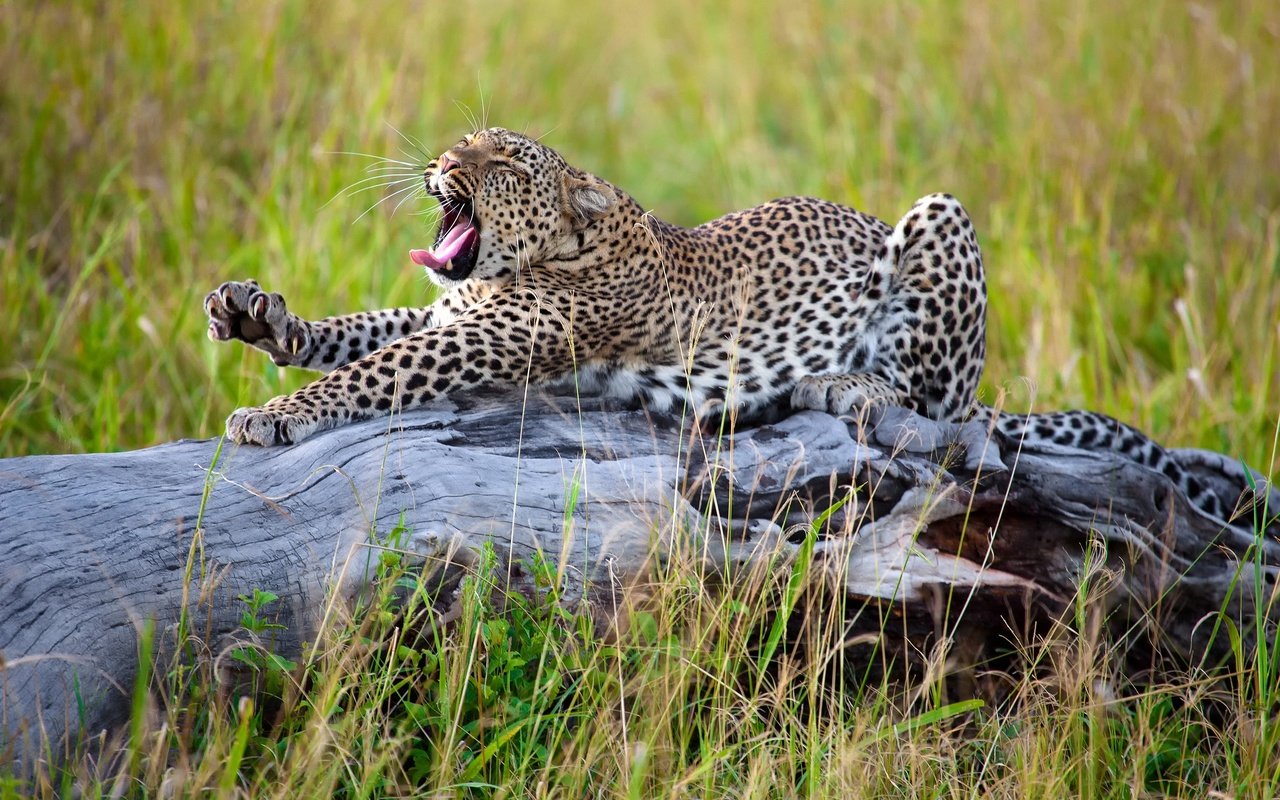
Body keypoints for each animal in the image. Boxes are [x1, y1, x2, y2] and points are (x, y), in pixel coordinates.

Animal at [204, 124, 1254, 527]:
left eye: (502, 163)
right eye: (467, 142)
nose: (443, 161)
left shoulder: (485, 336)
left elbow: (375, 369)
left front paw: (275, 416)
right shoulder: (452, 310)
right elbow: (364, 329)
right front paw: (262, 318)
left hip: (938, 220)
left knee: (944, 405)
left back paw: (842, 383)